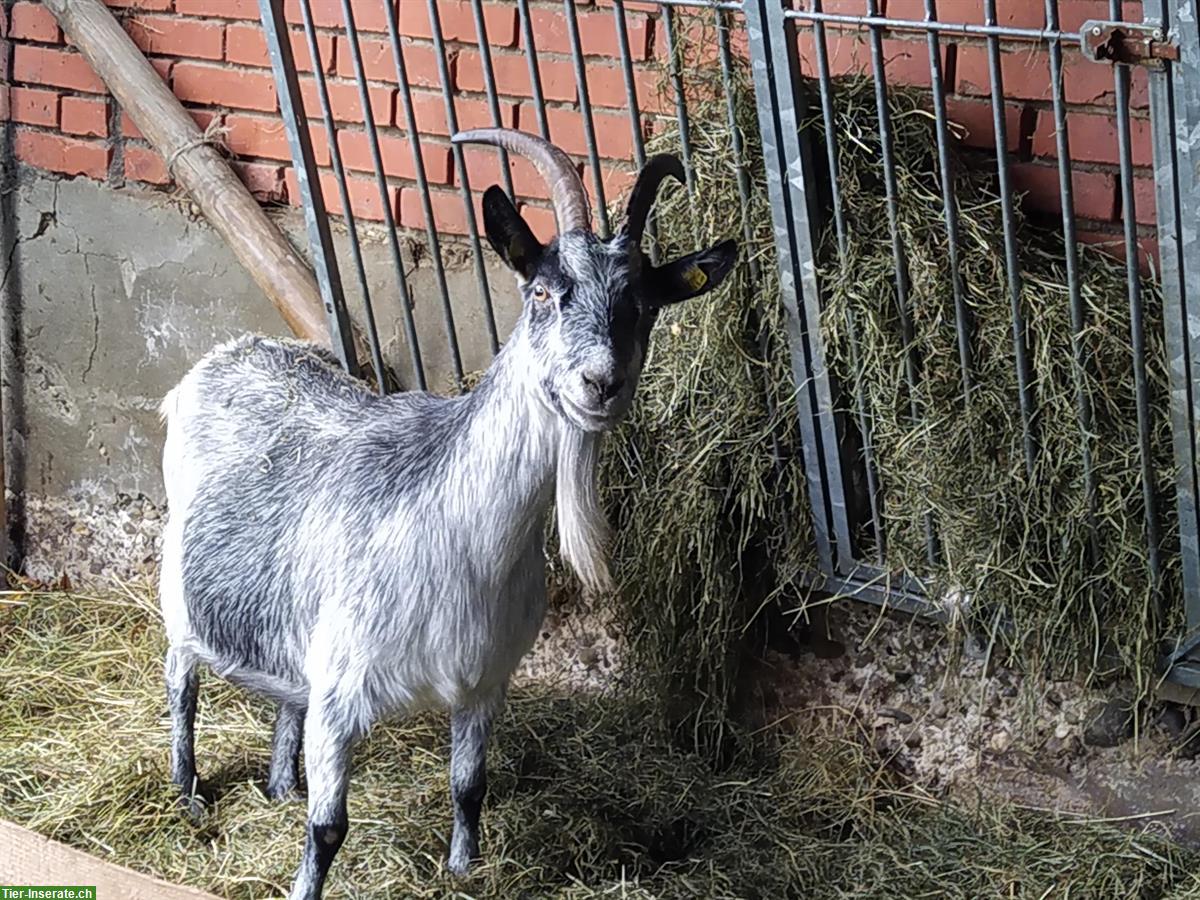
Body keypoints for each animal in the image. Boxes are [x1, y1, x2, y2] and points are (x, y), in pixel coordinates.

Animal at [158, 128, 737, 900]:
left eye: (643, 305)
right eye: (544, 291)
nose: (601, 384)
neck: (461, 537)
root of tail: (230, 354)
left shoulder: (484, 683)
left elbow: (469, 786)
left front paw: (464, 868)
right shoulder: (341, 691)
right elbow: (328, 828)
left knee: (284, 697)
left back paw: (278, 785)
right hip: (181, 595)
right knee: (181, 681)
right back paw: (188, 790)